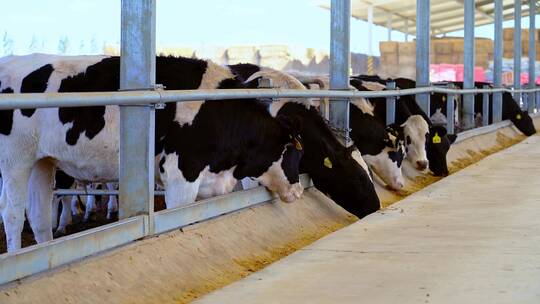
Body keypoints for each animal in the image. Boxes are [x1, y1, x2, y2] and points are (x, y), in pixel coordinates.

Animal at [0, 54, 306, 252]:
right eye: (294, 152)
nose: (300, 190)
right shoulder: (181, 173)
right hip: (15, 158)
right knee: (12, 213)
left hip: (42, 161)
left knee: (38, 216)